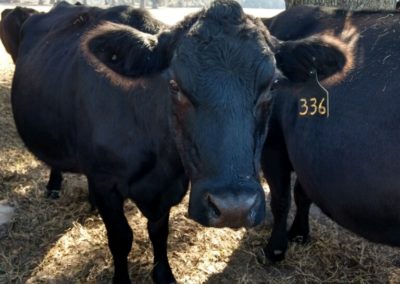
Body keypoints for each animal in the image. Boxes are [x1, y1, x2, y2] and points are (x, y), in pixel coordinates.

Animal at [260, 5, 400, 262]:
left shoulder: (274, 142)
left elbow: (281, 200)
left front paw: (274, 249)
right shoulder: (305, 150)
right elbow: (300, 194)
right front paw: (299, 234)